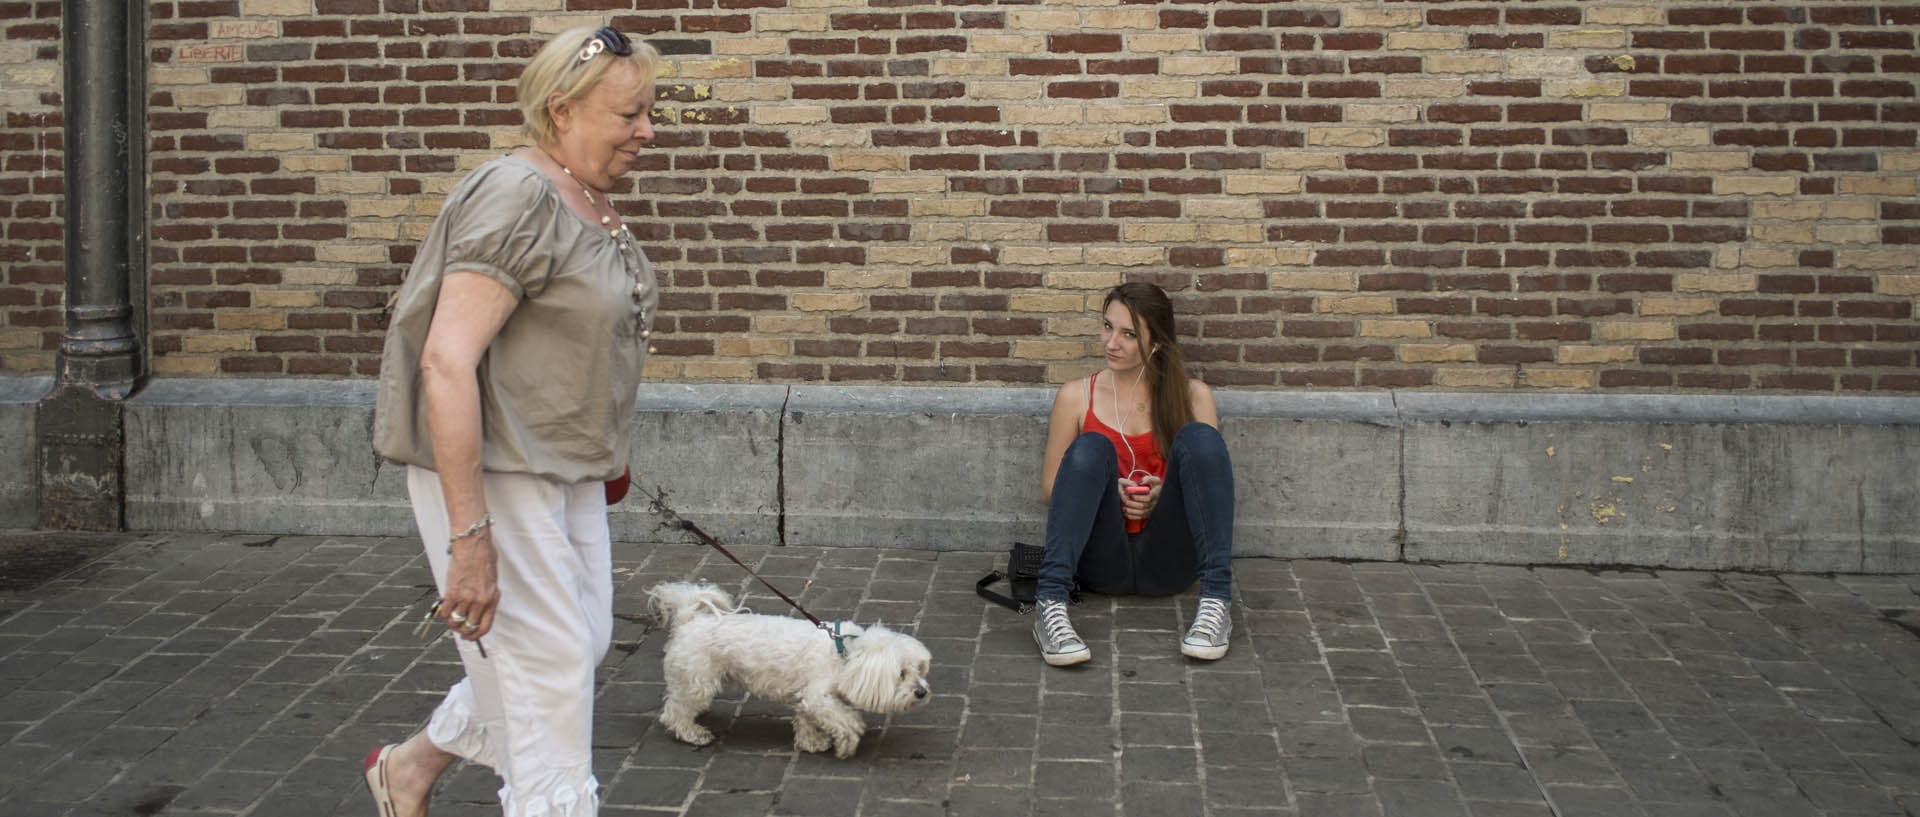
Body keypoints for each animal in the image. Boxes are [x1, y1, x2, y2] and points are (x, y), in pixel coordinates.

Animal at [648, 579, 933, 759]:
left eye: (919, 669)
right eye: (901, 674)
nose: (922, 693)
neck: (846, 655)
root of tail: (689, 621)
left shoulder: (806, 696)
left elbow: (806, 719)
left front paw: (812, 742)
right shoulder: (818, 696)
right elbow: (845, 719)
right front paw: (847, 742)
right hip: (697, 681)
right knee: (674, 712)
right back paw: (692, 733)